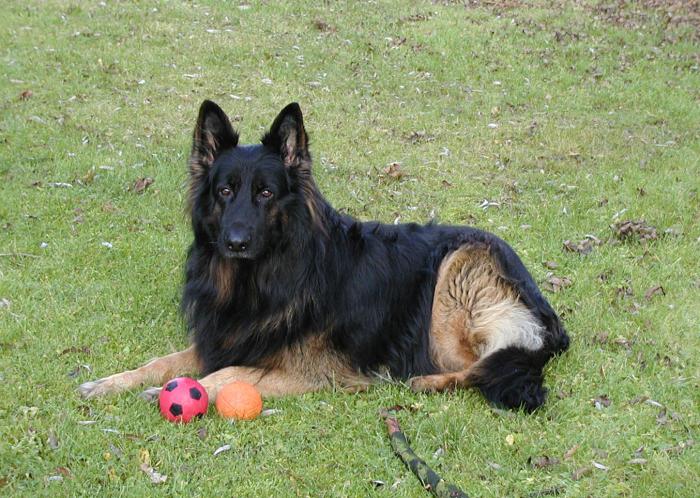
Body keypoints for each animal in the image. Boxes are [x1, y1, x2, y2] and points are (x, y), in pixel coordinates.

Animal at [79, 99, 568, 410]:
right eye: (224, 191)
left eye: (265, 193)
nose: (235, 242)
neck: (265, 278)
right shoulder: (224, 340)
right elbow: (163, 362)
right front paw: (111, 383)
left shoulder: (305, 370)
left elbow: (228, 375)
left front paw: (182, 390)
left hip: (457, 273)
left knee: (488, 363)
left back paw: (426, 381)